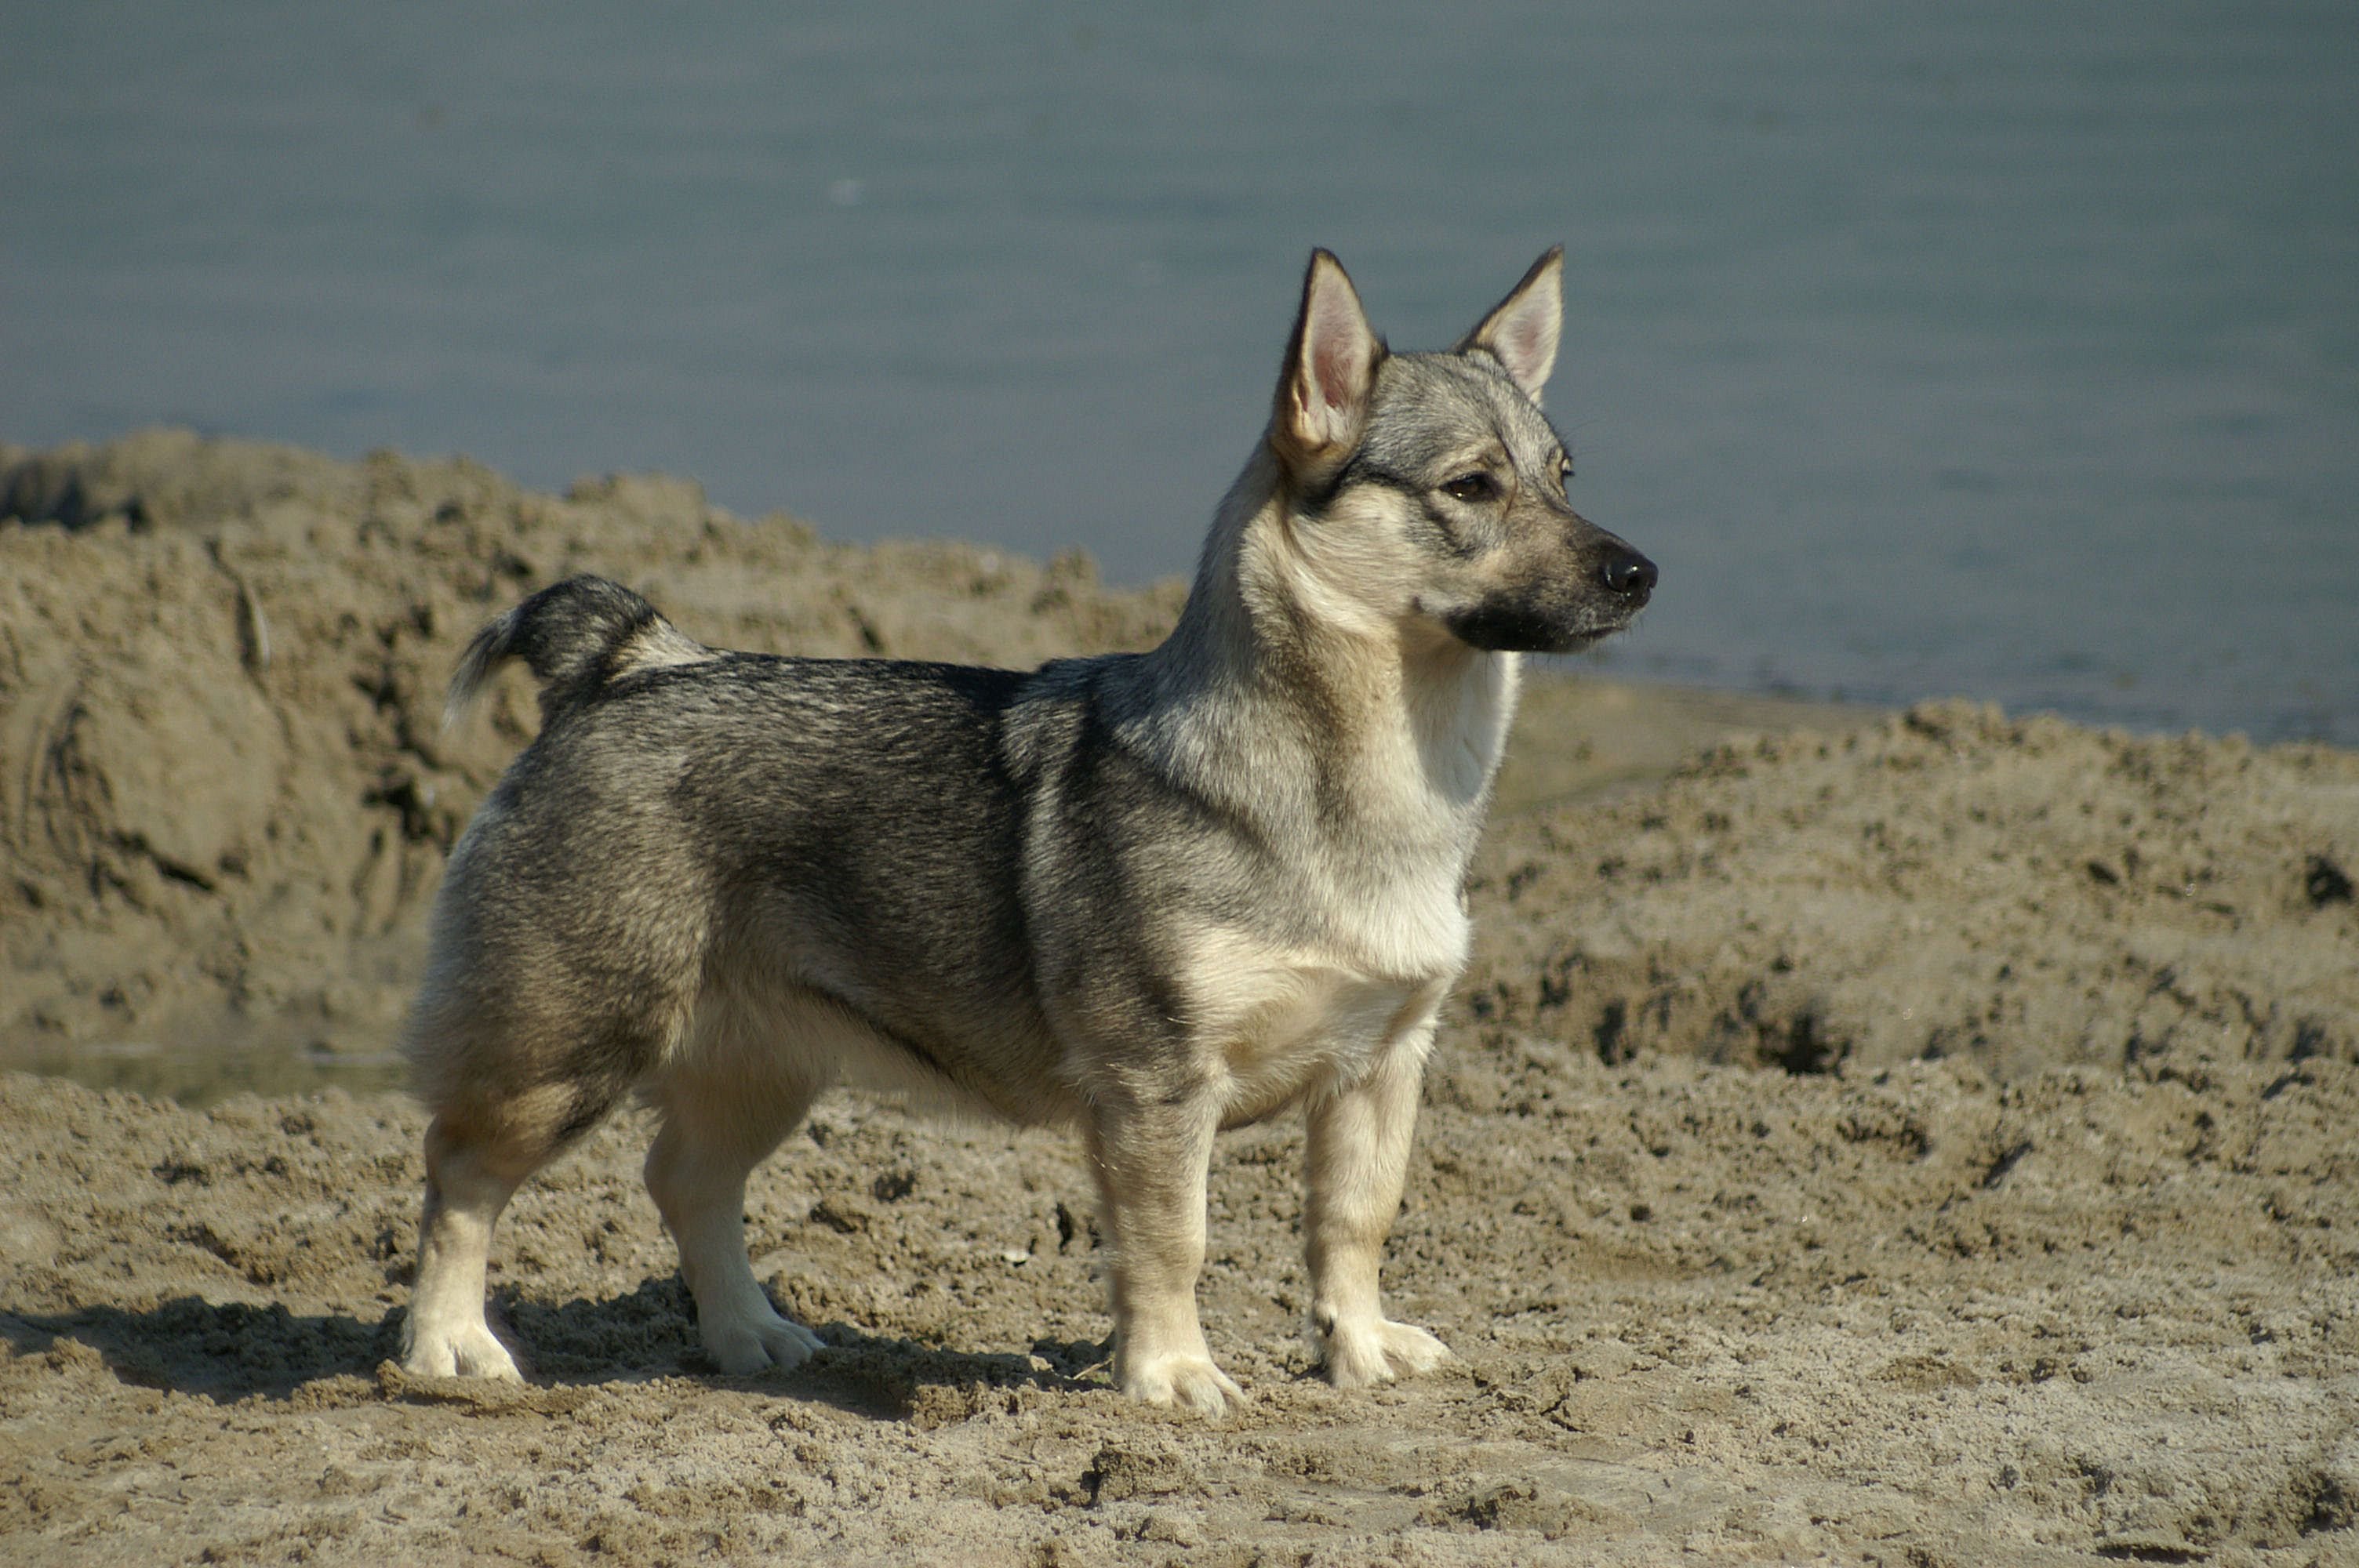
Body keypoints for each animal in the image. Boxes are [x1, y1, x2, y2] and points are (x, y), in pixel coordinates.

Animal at [401, 245, 1660, 1405]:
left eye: (1563, 475)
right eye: (1472, 488)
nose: (1641, 571)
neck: (1372, 785)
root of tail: (628, 665)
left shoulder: (1382, 1066)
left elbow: (1353, 1223)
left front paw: (1356, 1348)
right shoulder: (1158, 1090)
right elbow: (1172, 1242)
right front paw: (1171, 1374)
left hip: (764, 1068)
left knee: (684, 1181)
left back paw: (749, 1334)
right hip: (565, 1056)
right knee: (459, 1173)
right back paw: (448, 1346)